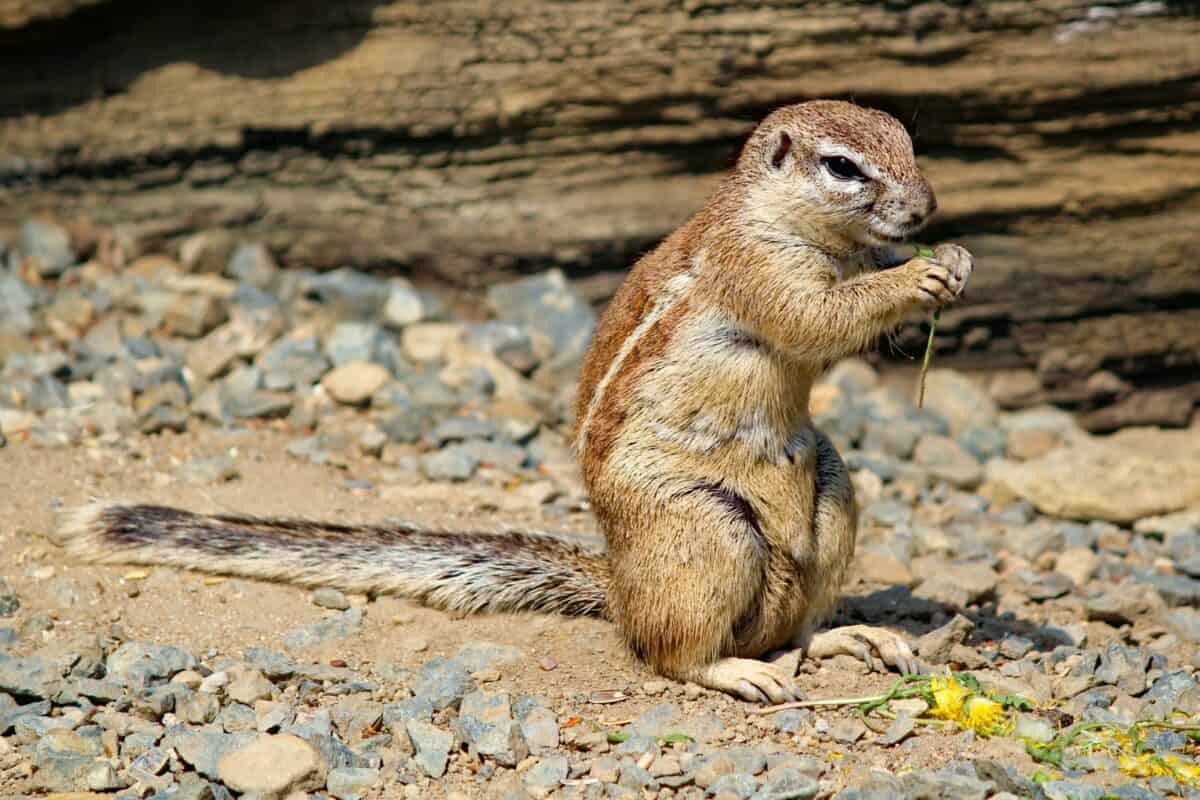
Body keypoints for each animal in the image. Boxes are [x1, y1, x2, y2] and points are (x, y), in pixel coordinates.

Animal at [57, 100, 972, 703]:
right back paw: (739, 670)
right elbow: (816, 318)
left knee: (800, 618)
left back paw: (851, 636)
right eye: (842, 167)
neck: (785, 221)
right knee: (671, 651)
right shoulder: (755, 270)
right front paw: (920, 275)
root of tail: (618, 585)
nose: (929, 208)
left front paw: (951, 261)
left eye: (909, 142)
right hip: (704, 529)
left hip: (832, 492)